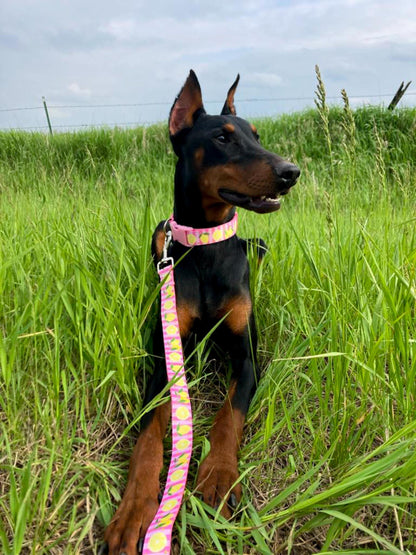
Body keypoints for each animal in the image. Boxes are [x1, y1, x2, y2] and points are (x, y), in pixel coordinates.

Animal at [103, 70, 300, 555]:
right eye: (222, 138)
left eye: (257, 136)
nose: (291, 173)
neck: (207, 247)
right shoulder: (164, 360)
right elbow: (148, 438)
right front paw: (134, 510)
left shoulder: (247, 356)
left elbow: (230, 414)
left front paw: (218, 478)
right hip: (160, 234)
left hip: (258, 246)